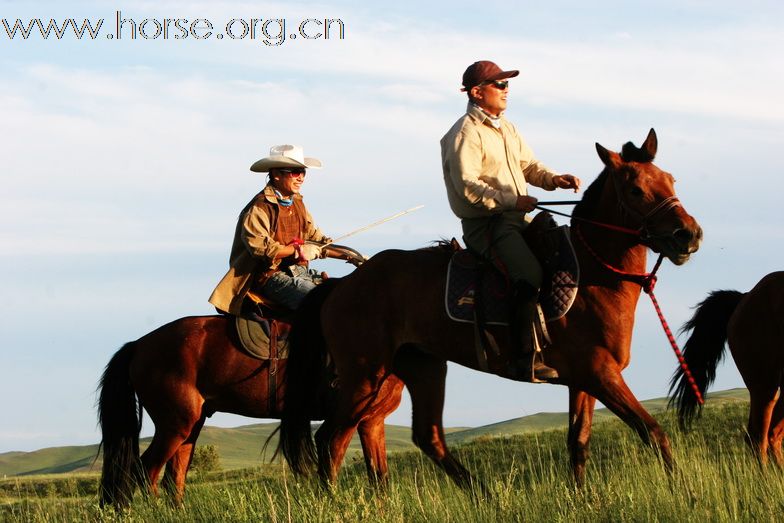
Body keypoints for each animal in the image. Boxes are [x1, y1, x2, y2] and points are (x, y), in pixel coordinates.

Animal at [98, 280, 404, 510]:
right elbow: (332, 467)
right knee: (146, 471)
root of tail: (139, 345)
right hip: (175, 424)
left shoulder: (371, 421)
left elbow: (380, 476)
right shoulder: (342, 421)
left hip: (190, 426)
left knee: (173, 478)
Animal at [280, 129, 704, 490]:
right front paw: (684, 491)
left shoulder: (584, 381)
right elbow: (653, 432)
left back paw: (482, 495)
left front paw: (582, 497)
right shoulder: (600, 374)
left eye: (671, 180)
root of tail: (342, 284)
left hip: (421, 367)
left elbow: (579, 442)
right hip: (363, 375)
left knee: (427, 436)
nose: (689, 235)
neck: (590, 273)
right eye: (636, 190)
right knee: (332, 439)